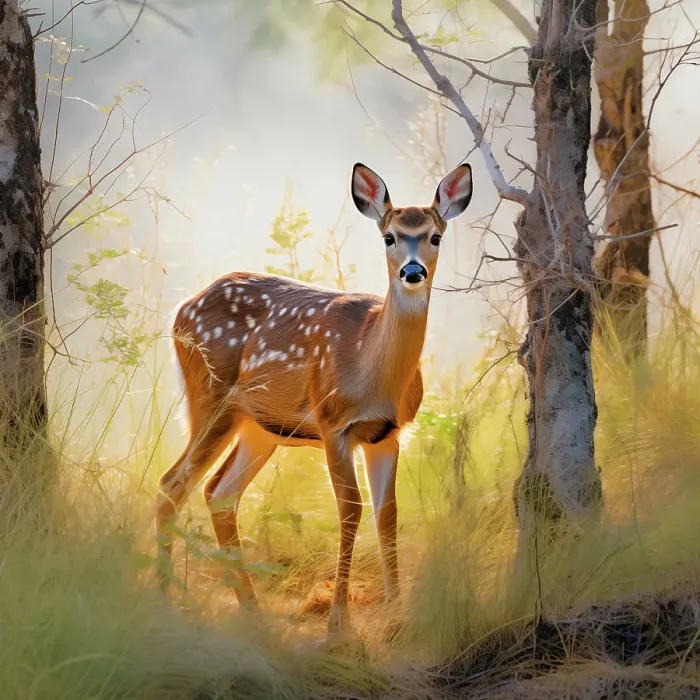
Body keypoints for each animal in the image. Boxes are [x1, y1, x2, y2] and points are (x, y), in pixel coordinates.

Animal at [156, 161, 473, 638]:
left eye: (435, 236)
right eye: (389, 236)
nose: (413, 271)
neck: (370, 369)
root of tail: (181, 310)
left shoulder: (389, 433)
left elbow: (388, 514)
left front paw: (397, 615)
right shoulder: (333, 424)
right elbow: (350, 511)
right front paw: (338, 625)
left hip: (260, 427)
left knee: (219, 493)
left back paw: (252, 611)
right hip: (210, 398)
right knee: (172, 485)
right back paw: (164, 601)